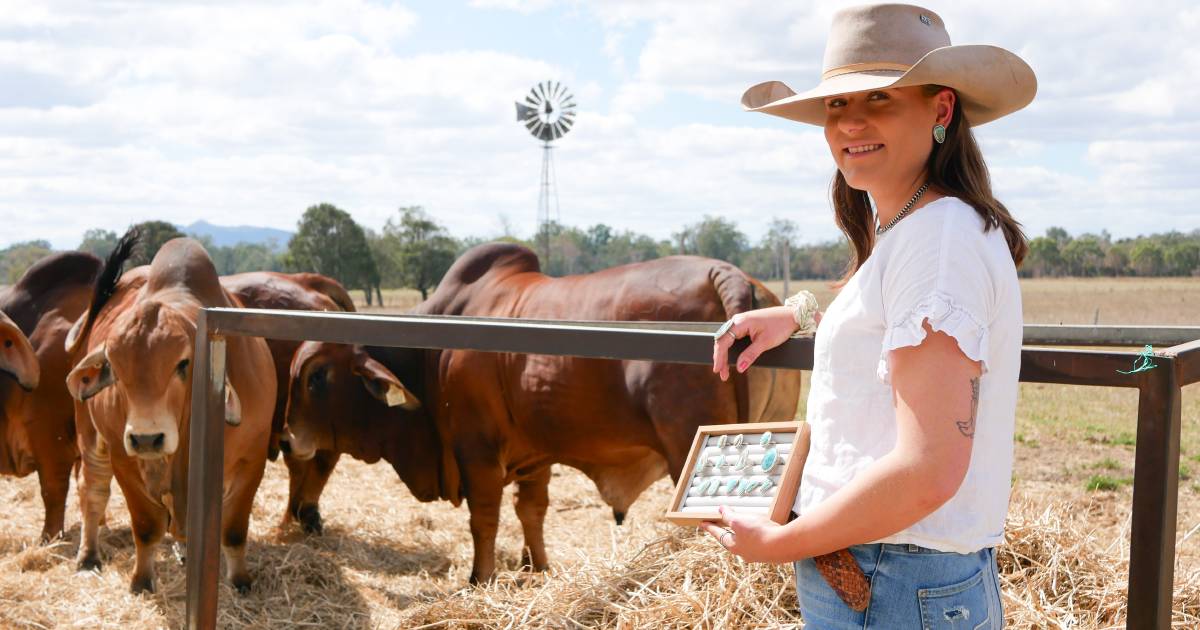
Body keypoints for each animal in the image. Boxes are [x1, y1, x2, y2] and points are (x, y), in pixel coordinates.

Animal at [66, 232, 274, 592]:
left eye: (183, 363)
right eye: (115, 368)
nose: (147, 438)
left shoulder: (253, 460)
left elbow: (233, 530)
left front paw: (240, 580)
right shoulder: (124, 461)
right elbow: (147, 527)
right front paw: (141, 580)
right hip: (90, 437)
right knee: (92, 491)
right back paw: (88, 556)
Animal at [284, 241, 801, 580]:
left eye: (316, 377)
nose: (288, 437)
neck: (434, 345)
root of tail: (726, 274)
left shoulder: (476, 450)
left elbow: (484, 518)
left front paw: (481, 578)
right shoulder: (535, 455)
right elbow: (531, 511)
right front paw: (537, 568)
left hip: (683, 450)